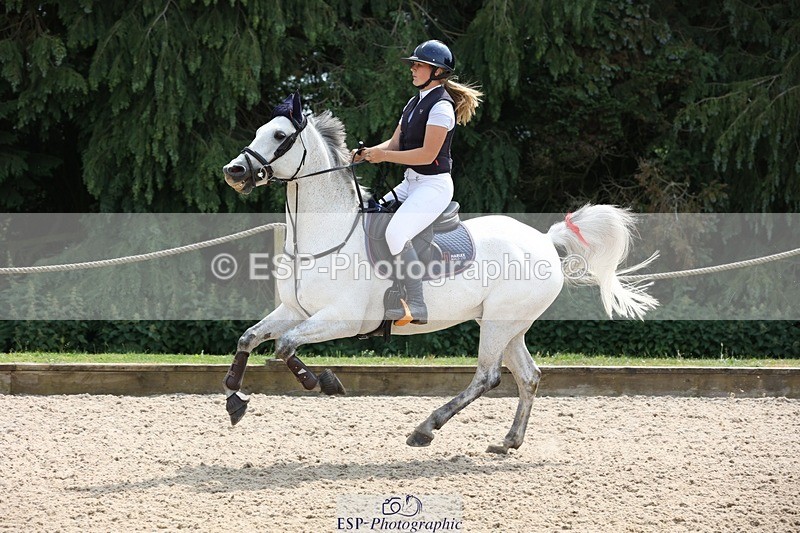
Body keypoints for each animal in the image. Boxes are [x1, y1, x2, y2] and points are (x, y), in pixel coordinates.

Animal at [221, 92, 658, 454]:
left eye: (279, 135)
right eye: (258, 132)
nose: (233, 170)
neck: (325, 236)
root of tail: (545, 240)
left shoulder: (341, 319)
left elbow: (285, 346)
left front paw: (324, 383)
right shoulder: (295, 311)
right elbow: (249, 339)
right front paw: (233, 402)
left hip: (498, 323)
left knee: (487, 377)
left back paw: (425, 429)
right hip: (507, 323)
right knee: (528, 376)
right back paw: (508, 441)